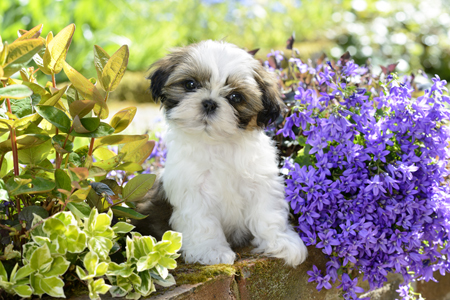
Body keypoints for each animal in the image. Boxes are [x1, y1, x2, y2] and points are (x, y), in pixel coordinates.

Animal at [135, 39, 308, 268]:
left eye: (235, 97)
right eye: (190, 85)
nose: (209, 102)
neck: (217, 143)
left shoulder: (261, 181)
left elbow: (268, 213)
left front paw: (282, 242)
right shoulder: (192, 189)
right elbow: (202, 222)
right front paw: (211, 251)